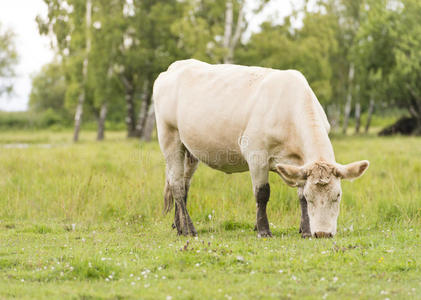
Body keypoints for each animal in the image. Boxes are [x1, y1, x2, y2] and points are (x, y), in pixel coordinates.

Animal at [152, 59, 368, 239]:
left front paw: (305, 230)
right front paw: (263, 230)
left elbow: (298, 196)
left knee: (183, 184)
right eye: (311, 197)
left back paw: (179, 226)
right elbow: (262, 194)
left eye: (337, 195)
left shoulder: (299, 164)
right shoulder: (256, 154)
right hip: (170, 138)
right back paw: (189, 229)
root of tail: (174, 66)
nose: (322, 233)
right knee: (177, 185)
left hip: (190, 151)